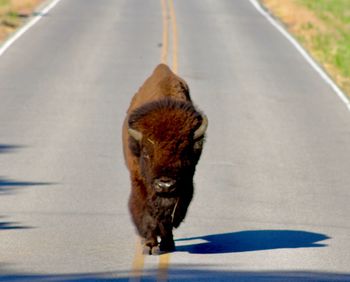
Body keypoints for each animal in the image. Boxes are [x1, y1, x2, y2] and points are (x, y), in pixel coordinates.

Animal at [122, 64, 208, 256]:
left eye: (184, 153)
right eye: (147, 154)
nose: (165, 184)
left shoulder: (186, 185)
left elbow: (170, 216)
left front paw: (168, 244)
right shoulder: (139, 183)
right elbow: (146, 214)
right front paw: (150, 246)